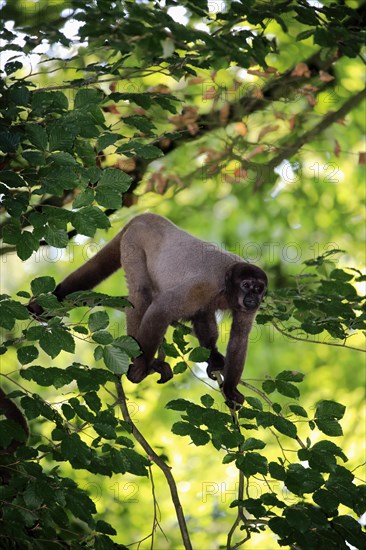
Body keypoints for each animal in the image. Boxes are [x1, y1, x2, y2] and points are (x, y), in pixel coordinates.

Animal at [28, 216, 268, 410]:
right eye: (246, 285)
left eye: (258, 288)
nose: (253, 297)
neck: (227, 287)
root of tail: (148, 217)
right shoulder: (205, 285)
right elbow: (161, 308)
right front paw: (141, 366)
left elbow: (239, 337)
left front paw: (230, 389)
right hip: (134, 241)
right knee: (141, 294)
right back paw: (142, 362)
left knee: (201, 313)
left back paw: (213, 355)